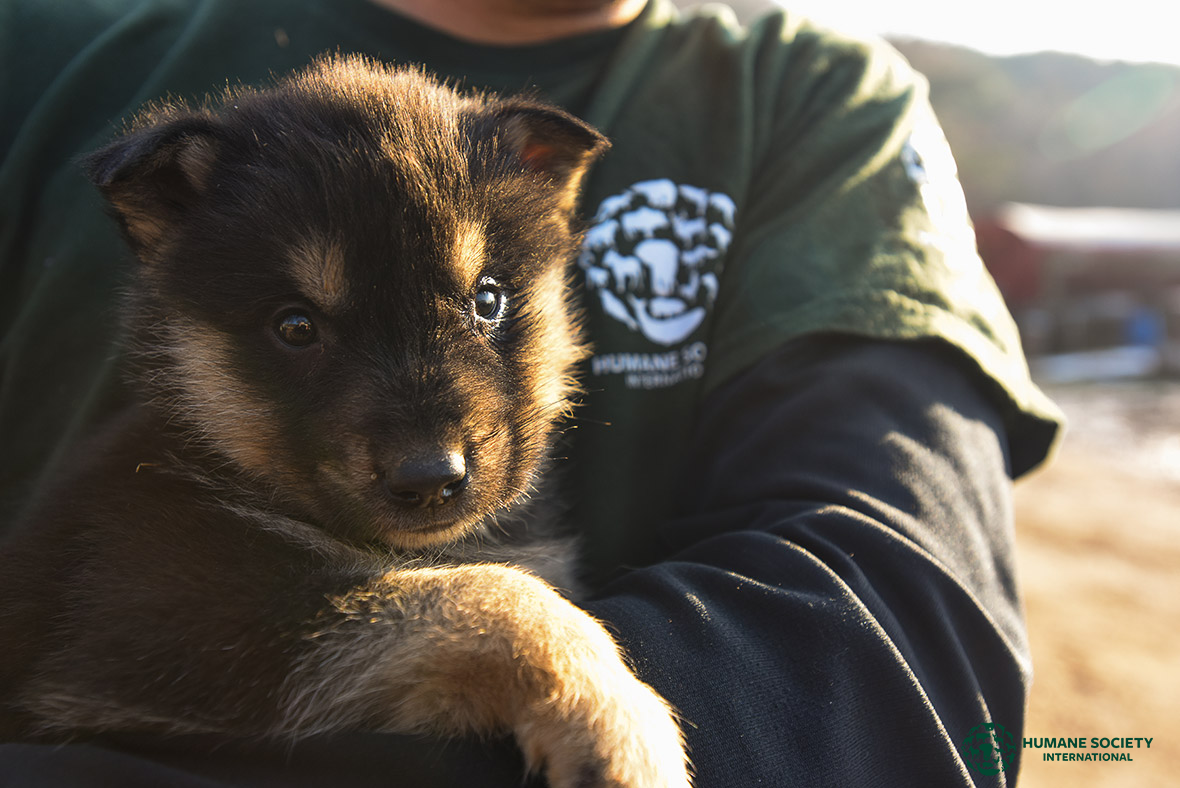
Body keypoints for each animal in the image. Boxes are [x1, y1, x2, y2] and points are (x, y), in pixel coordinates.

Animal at [0, 56, 689, 788]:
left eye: (488, 299)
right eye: (295, 326)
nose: (430, 478)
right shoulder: (164, 630)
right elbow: (486, 593)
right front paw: (613, 719)